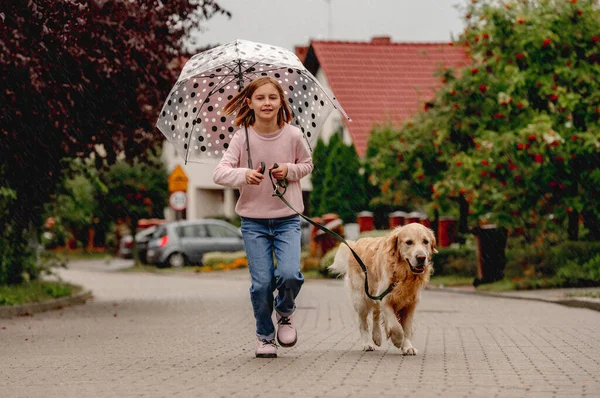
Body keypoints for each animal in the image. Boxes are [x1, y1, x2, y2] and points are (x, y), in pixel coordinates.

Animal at [328, 222, 436, 356]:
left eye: (425, 241)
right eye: (409, 242)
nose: (421, 258)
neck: (402, 273)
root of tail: (355, 244)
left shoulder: (411, 303)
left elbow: (406, 328)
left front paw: (407, 346)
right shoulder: (385, 298)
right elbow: (396, 326)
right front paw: (397, 340)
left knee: (376, 314)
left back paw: (377, 336)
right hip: (361, 298)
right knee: (363, 323)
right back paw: (367, 344)